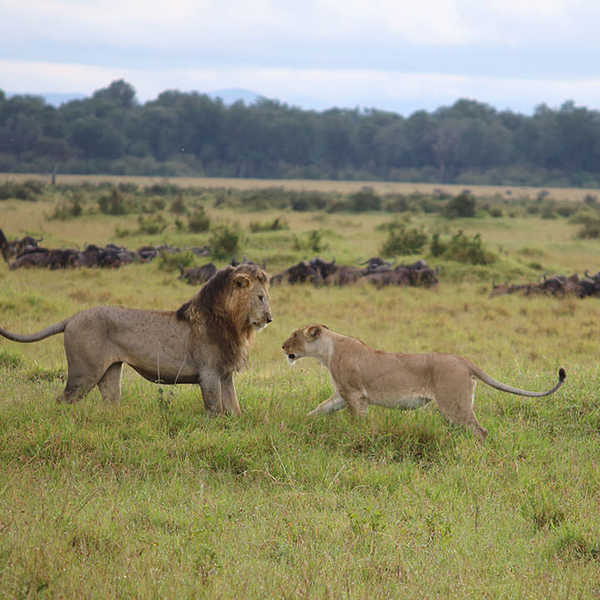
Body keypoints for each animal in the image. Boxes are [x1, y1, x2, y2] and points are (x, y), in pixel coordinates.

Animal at [0, 264, 272, 414]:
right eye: (260, 297)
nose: (270, 318)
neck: (235, 323)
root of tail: (72, 318)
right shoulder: (209, 374)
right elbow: (216, 410)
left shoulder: (225, 374)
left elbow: (234, 409)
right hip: (83, 374)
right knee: (61, 401)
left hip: (109, 372)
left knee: (110, 403)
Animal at [282, 324, 564, 440]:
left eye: (294, 335)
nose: (283, 346)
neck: (328, 351)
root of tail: (464, 360)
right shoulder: (341, 396)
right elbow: (320, 409)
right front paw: (301, 423)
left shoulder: (354, 395)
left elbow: (358, 423)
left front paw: (359, 437)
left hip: (453, 405)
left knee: (480, 430)